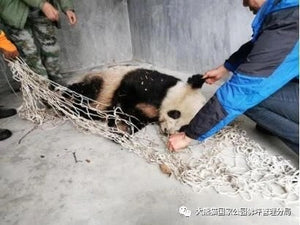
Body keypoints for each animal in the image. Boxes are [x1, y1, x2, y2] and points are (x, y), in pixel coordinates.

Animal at [66, 66, 206, 134]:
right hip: (100, 81)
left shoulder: (147, 114)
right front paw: (116, 119)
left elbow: (137, 118)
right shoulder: (150, 83)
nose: (168, 132)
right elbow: (125, 92)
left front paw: (123, 128)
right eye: (175, 114)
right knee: (87, 89)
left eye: (184, 128)